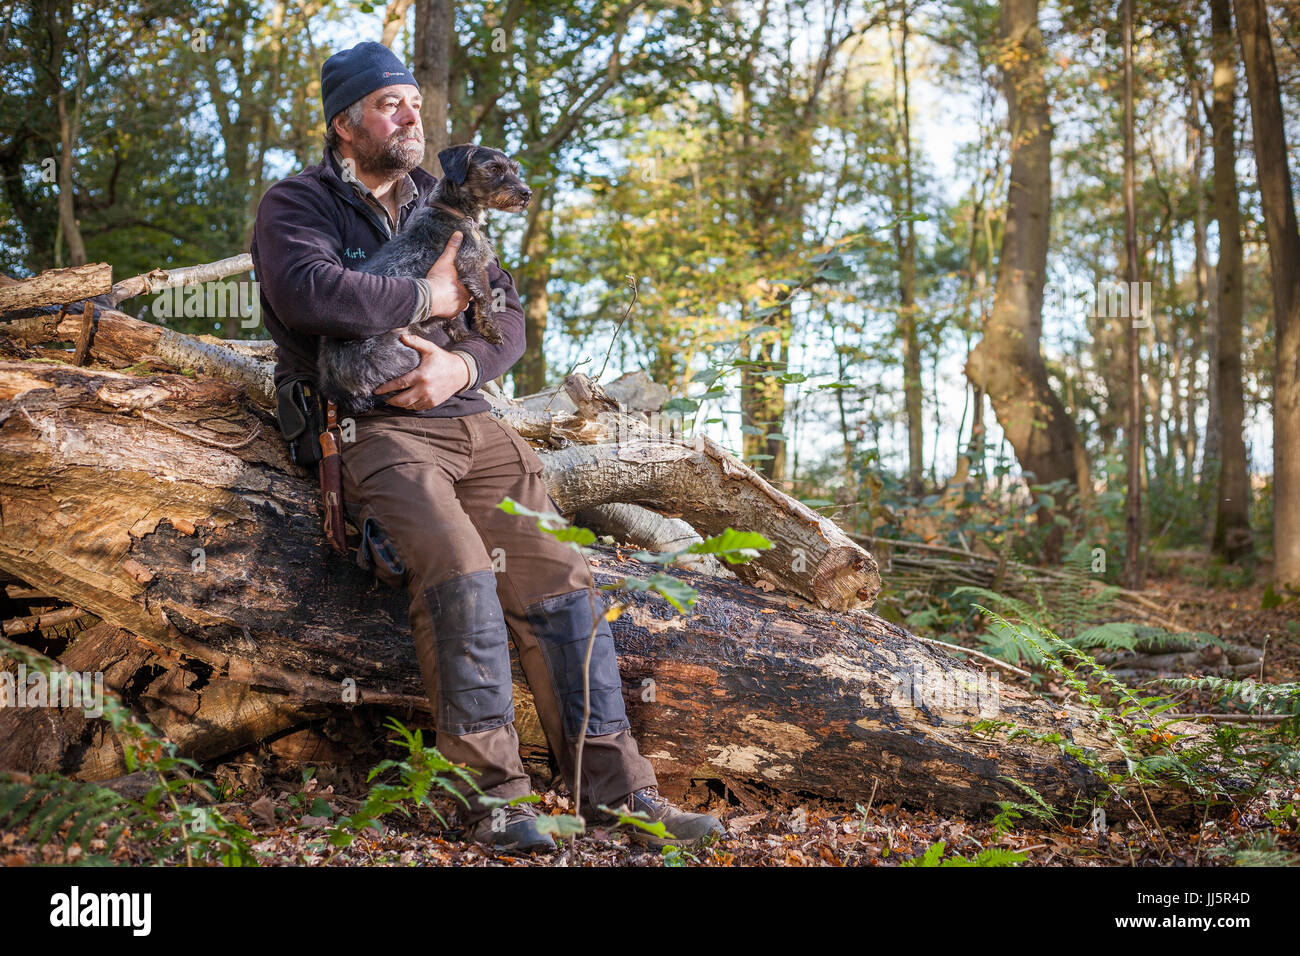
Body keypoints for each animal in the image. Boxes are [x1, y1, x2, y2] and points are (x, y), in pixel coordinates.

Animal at [317, 143, 530, 413]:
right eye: (493, 168)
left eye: (515, 169)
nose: (527, 193)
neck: (454, 210)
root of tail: (333, 386)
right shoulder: (471, 265)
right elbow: (486, 298)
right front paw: (491, 331)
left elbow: (456, 318)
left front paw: (464, 337)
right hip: (408, 360)